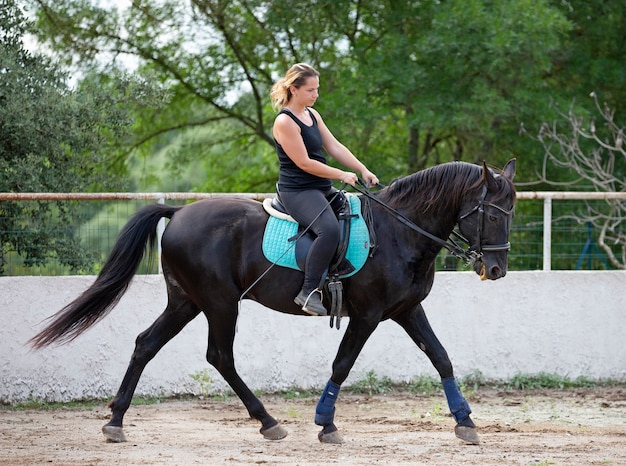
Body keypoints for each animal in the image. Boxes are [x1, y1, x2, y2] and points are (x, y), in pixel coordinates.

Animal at [29, 159, 516, 444]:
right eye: (492, 213)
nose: (496, 270)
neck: (399, 232)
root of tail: (179, 212)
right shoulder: (368, 315)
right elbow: (343, 364)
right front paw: (326, 423)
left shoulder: (407, 311)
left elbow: (441, 357)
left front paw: (465, 422)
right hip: (220, 302)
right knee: (219, 356)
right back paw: (267, 420)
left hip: (186, 302)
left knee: (146, 343)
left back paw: (116, 420)